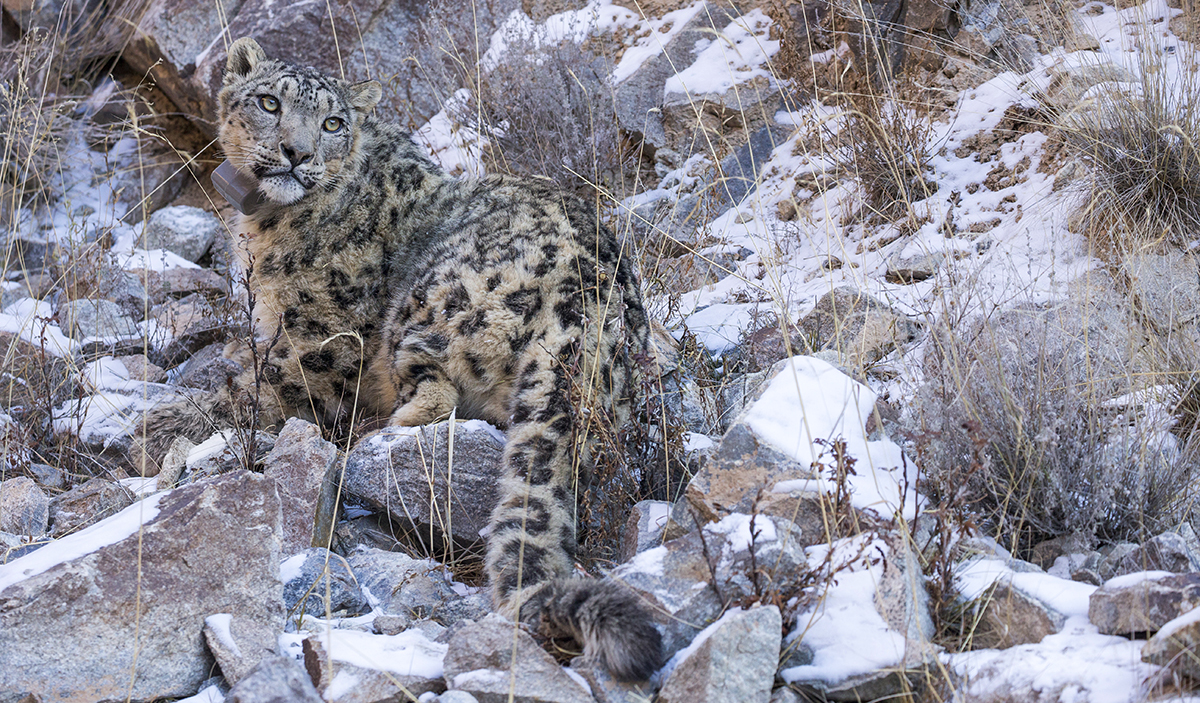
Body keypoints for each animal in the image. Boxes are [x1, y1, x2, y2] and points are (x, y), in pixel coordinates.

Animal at [137, 37, 663, 680]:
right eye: (268, 102)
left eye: (333, 123)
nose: (297, 153)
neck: (265, 225)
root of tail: (583, 298)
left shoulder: (317, 346)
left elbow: (246, 392)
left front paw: (152, 426)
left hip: (423, 310)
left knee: (434, 400)